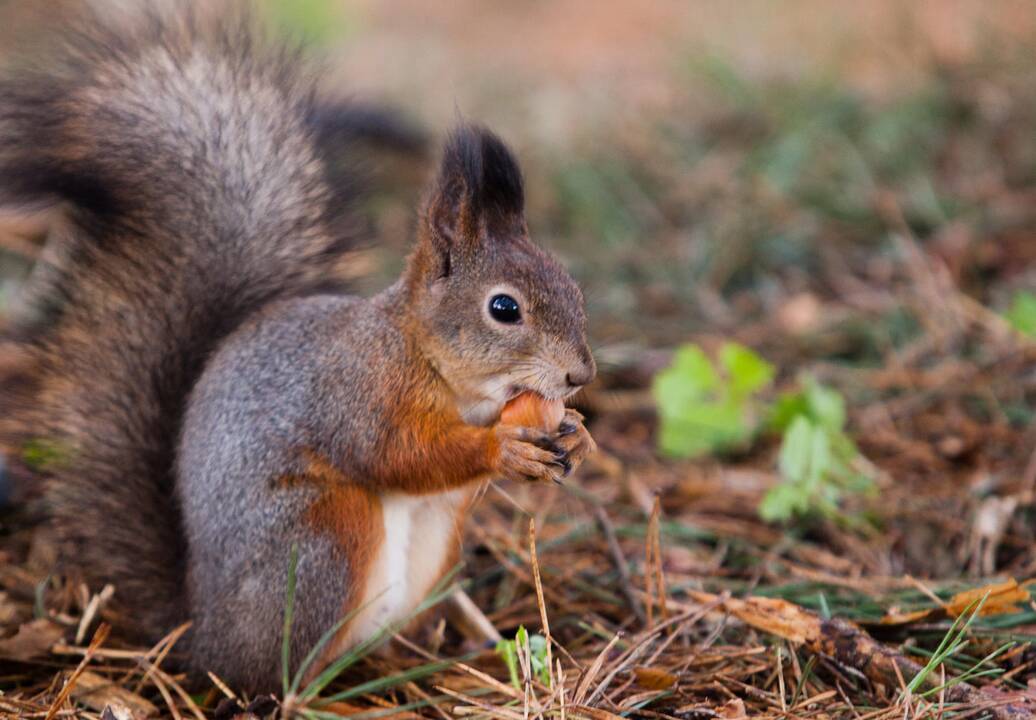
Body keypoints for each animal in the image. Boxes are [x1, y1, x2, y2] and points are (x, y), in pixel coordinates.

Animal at [0, 4, 596, 692]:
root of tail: (199, 634)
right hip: (320, 541)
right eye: (504, 309)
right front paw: (503, 448)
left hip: (429, 547)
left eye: (573, 287)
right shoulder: (357, 391)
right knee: (274, 665)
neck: (438, 367)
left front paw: (577, 433)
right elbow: (394, 455)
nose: (582, 375)